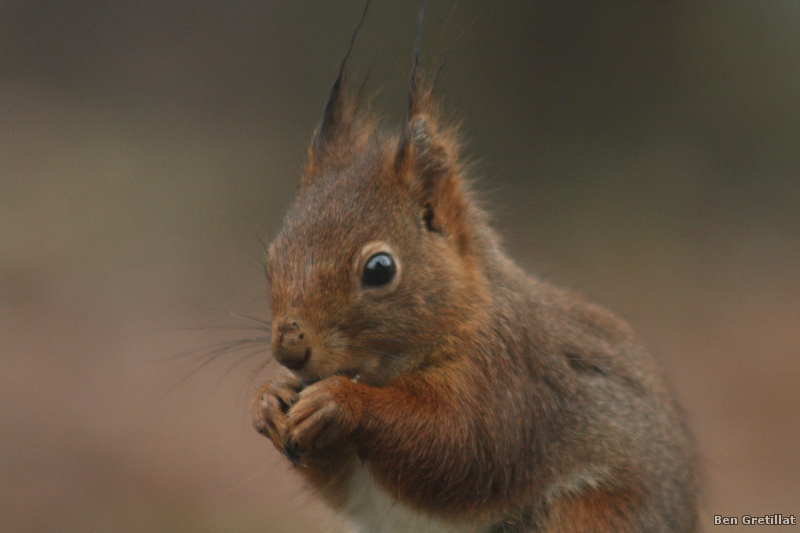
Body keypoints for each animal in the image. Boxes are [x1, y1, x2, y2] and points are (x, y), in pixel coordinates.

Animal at [250, 5, 692, 532]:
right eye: (271, 259)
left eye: (379, 269)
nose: (290, 349)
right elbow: (342, 483)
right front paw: (269, 400)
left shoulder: (508, 377)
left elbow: (462, 446)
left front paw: (341, 402)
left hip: (596, 515)